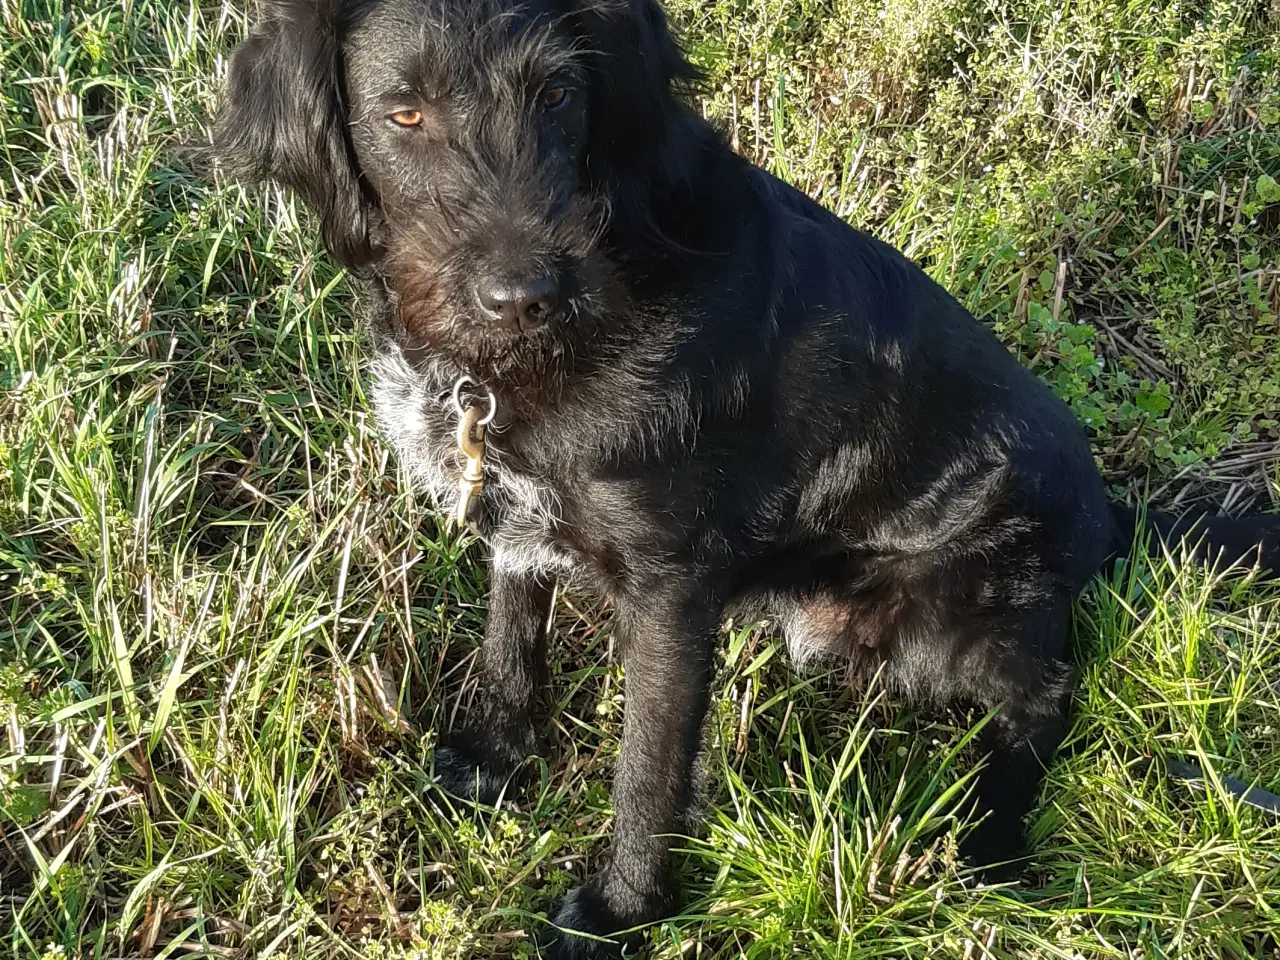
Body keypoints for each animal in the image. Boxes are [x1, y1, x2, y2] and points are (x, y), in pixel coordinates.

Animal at [215, 0, 1280, 957]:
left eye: (558, 93)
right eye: (404, 114)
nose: (527, 296)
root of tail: (1109, 515)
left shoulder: (672, 586)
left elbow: (647, 768)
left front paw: (620, 912)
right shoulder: (515, 511)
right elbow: (512, 634)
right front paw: (494, 756)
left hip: (940, 617)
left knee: (1047, 694)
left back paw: (990, 838)